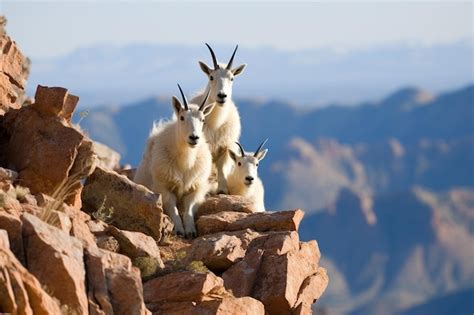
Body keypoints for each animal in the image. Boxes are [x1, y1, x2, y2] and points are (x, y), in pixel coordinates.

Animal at [134, 85, 214, 238]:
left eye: (202, 119)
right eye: (182, 117)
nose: (194, 138)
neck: (185, 162)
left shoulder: (196, 187)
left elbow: (189, 209)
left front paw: (191, 230)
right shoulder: (163, 187)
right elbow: (173, 209)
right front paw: (179, 229)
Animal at [190, 43, 248, 194]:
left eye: (232, 78)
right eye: (211, 77)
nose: (222, 96)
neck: (216, 122)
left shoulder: (225, 146)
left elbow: (221, 169)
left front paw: (222, 190)